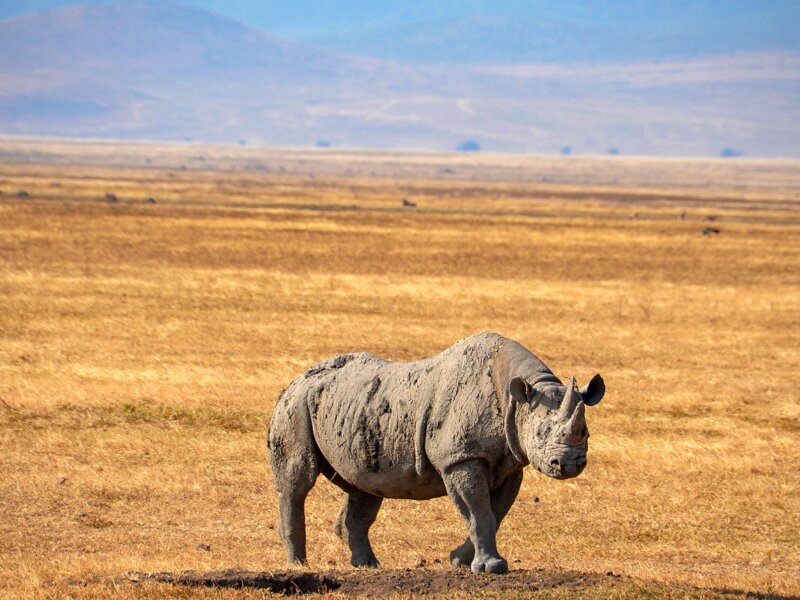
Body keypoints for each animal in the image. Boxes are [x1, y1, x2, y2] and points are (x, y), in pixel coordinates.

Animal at [267, 332, 604, 574]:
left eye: (586, 432)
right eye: (539, 433)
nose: (569, 464)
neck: (518, 398)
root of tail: (296, 379)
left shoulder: (510, 462)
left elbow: (495, 513)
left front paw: (459, 561)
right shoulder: (460, 457)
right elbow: (479, 511)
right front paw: (491, 568)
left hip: (355, 411)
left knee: (364, 488)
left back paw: (368, 566)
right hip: (295, 405)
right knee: (297, 482)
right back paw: (298, 566)